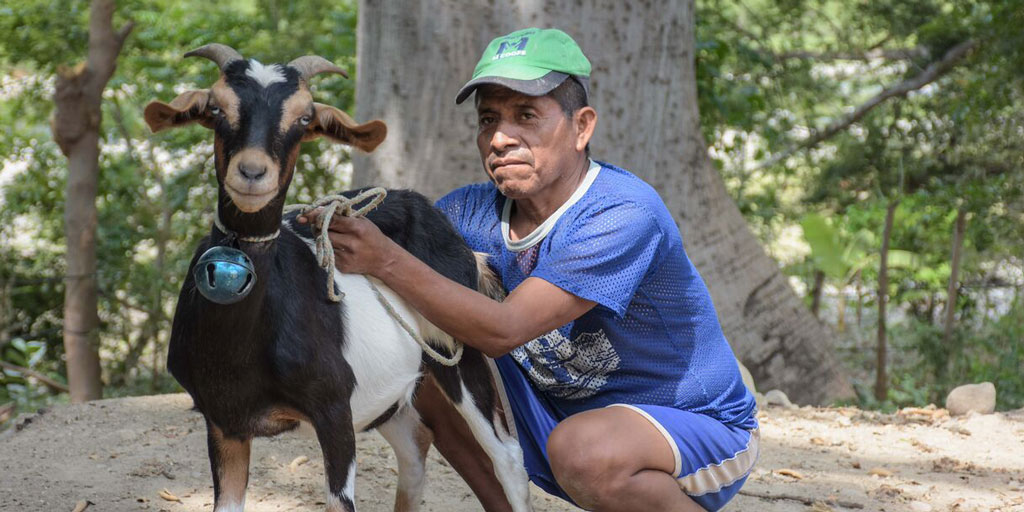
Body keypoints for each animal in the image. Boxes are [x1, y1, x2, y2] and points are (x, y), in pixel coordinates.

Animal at [144, 44, 530, 512]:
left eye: (305, 117)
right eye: (216, 108)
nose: (252, 173)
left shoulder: (335, 410)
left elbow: (339, 501)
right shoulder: (225, 423)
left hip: (459, 353)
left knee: (507, 457)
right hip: (392, 394)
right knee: (416, 443)